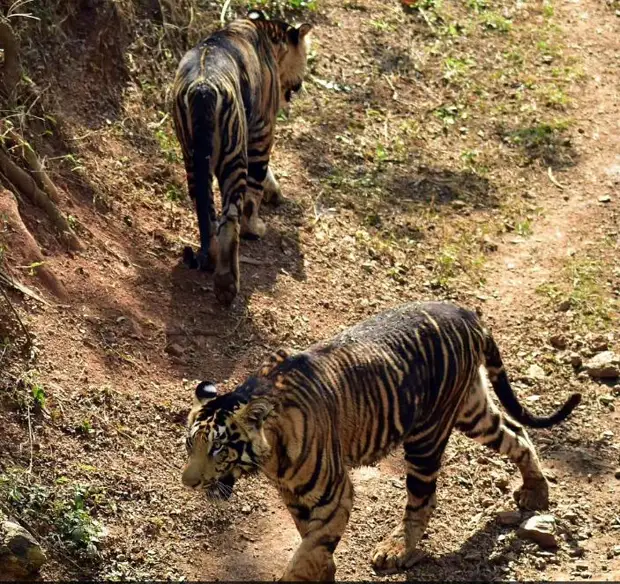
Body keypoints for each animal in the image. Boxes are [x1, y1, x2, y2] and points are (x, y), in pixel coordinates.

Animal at [172, 9, 312, 306]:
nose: (300, 86)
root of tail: (202, 88)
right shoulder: (262, 129)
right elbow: (255, 189)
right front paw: (256, 227)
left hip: (191, 157)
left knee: (206, 211)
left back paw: (211, 260)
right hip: (233, 158)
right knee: (231, 218)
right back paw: (227, 285)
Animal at [180, 302, 580, 580]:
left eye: (218, 447)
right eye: (189, 444)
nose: (189, 482)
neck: (271, 458)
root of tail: (467, 312)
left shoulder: (333, 493)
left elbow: (308, 550)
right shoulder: (295, 495)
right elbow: (311, 541)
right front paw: (325, 570)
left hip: (427, 438)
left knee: (422, 499)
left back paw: (396, 549)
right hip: (473, 411)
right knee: (516, 434)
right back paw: (535, 491)